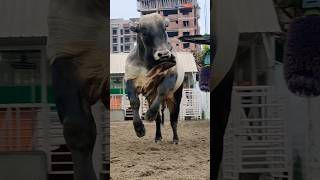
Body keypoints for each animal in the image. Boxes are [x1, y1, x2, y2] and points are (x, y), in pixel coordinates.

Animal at [125, 13, 185, 144]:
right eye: (144, 32)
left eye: (165, 28)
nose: (164, 54)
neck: (149, 63)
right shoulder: (130, 80)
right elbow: (134, 102)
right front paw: (139, 129)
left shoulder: (170, 76)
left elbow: (161, 91)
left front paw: (149, 115)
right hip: (151, 97)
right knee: (158, 119)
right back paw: (158, 137)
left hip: (176, 97)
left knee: (173, 119)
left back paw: (175, 139)